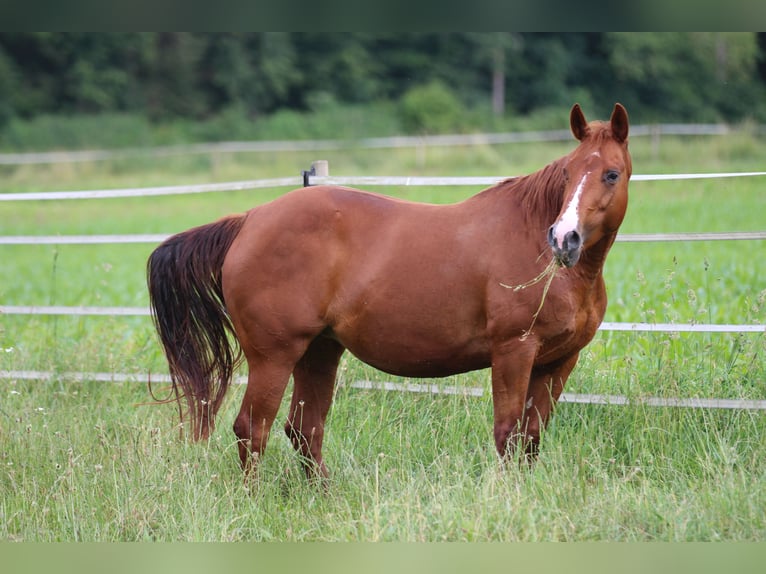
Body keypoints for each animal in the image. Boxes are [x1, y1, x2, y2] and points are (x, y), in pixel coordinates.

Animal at [147, 102, 632, 476]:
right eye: (568, 173)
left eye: (611, 174)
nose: (564, 238)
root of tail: (248, 220)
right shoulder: (514, 351)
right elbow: (508, 435)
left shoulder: (558, 362)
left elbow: (531, 439)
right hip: (275, 356)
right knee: (253, 428)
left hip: (319, 351)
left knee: (304, 430)